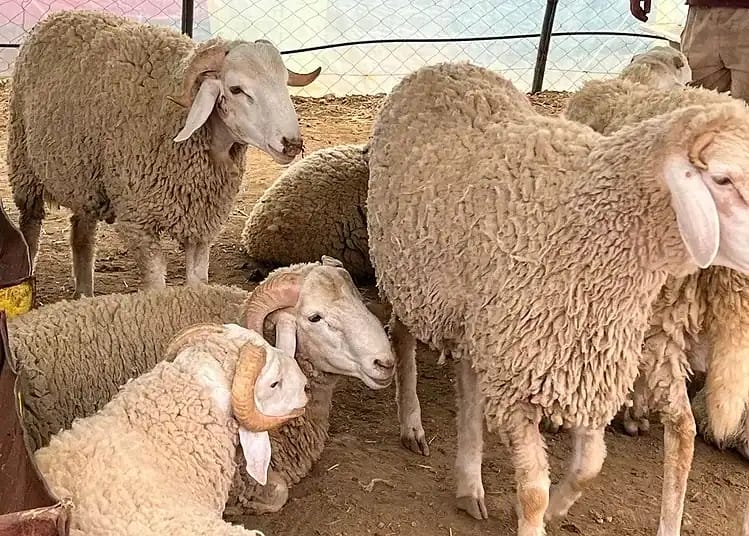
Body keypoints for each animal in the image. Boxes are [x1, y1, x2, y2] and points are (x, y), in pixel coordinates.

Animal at [7, 10, 320, 297]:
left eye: (283, 82)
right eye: (236, 89)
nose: (291, 143)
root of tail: (61, 14)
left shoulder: (201, 225)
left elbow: (198, 281)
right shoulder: (139, 222)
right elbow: (157, 285)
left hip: (86, 178)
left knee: (82, 233)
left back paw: (84, 293)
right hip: (23, 161)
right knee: (31, 225)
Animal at [366, 61, 749, 536]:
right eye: (722, 178)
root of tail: (445, 66)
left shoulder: (584, 365)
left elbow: (590, 465)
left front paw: (555, 510)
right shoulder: (524, 382)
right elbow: (533, 491)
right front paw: (536, 514)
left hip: (483, 320)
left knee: (469, 382)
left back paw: (469, 481)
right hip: (407, 273)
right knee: (401, 338)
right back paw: (412, 424)